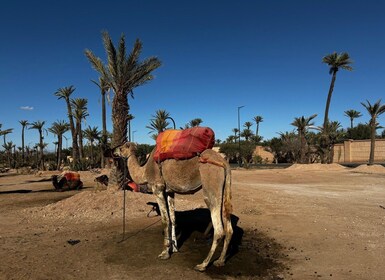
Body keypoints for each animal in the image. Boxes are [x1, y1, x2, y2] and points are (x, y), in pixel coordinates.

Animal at [112, 142, 232, 272]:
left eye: (121, 148)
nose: (113, 151)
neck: (144, 171)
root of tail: (224, 162)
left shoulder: (157, 188)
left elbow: (165, 220)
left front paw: (164, 253)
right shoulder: (170, 192)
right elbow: (173, 219)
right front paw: (174, 248)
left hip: (211, 183)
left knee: (219, 229)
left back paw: (202, 264)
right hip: (225, 187)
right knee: (229, 227)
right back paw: (220, 261)